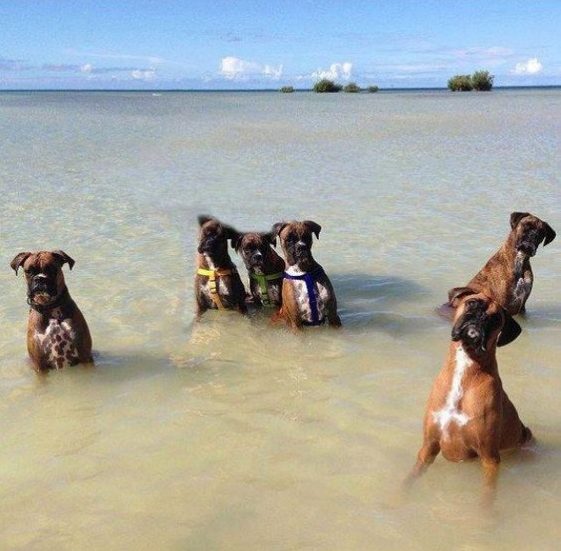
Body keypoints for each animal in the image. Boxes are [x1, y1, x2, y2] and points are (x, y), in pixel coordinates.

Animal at [406, 288, 528, 504]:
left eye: (495, 318)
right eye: (473, 303)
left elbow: (487, 495)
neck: (466, 366)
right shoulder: (428, 447)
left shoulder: (490, 458)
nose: (481, 317)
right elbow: (410, 478)